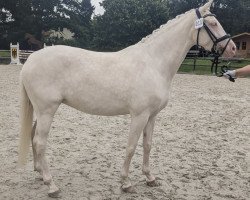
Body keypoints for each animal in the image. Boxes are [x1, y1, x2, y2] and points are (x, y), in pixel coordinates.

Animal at [18, 0, 235, 197]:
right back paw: (51, 185)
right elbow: (131, 147)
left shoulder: (152, 116)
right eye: (213, 24)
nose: (232, 48)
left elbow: (147, 145)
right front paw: (126, 183)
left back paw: (40, 174)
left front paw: (150, 178)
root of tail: (31, 59)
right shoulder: (139, 115)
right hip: (47, 110)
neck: (154, 63)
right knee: (40, 142)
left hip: (42, 111)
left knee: (33, 135)